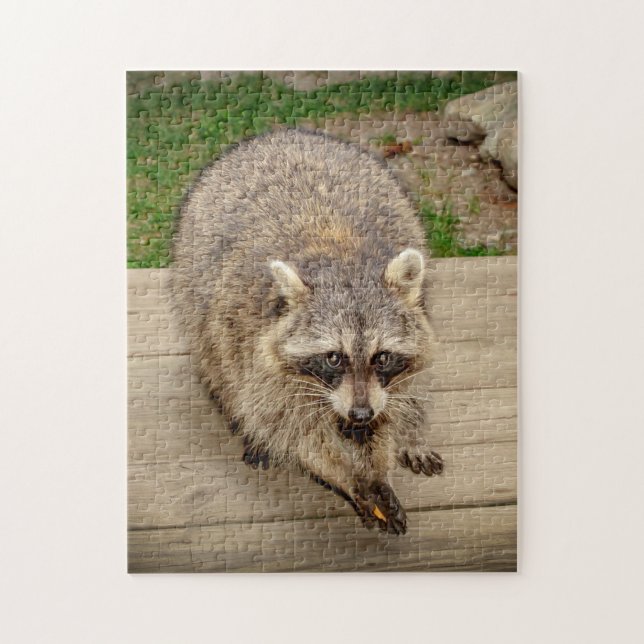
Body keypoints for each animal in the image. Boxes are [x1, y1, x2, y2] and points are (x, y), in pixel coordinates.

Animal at [172, 129, 443, 535]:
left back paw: (412, 431)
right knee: (217, 366)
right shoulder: (250, 343)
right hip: (198, 297)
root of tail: (282, 133)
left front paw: (380, 465)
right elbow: (293, 429)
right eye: (333, 358)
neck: (342, 258)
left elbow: (391, 408)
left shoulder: (389, 376)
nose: (359, 414)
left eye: (382, 357)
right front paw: (347, 476)